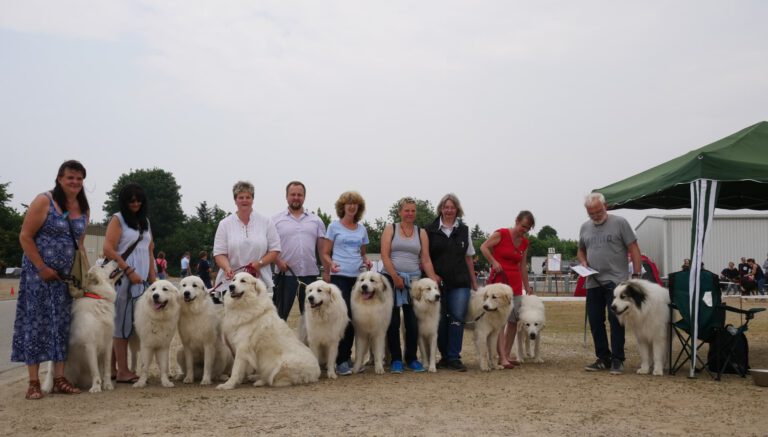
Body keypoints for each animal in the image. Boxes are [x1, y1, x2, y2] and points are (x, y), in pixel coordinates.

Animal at [42, 258, 121, 392]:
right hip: (55, 360)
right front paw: (96, 388)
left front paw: (107, 385)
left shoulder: (108, 343)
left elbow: (107, 368)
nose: (115, 258)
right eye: (103, 265)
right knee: (52, 375)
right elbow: (95, 371)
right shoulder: (90, 345)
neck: (98, 297)